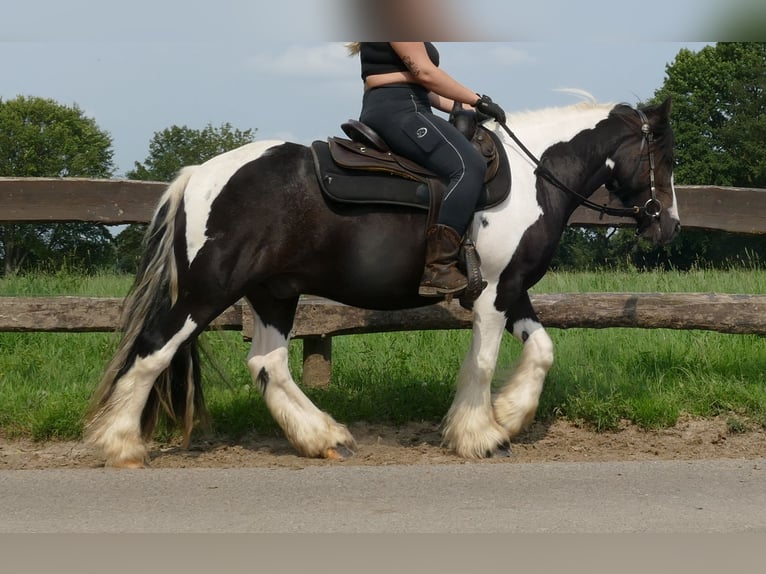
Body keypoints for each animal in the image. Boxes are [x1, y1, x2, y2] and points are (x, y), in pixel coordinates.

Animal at [87, 97, 680, 470]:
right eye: (664, 157)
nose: (669, 225)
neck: (535, 178)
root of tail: (198, 176)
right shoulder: (492, 292)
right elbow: (484, 362)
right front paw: (481, 435)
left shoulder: (511, 290)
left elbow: (542, 350)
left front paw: (510, 415)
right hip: (207, 291)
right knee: (152, 350)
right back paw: (121, 446)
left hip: (274, 292)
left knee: (267, 363)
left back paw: (325, 438)